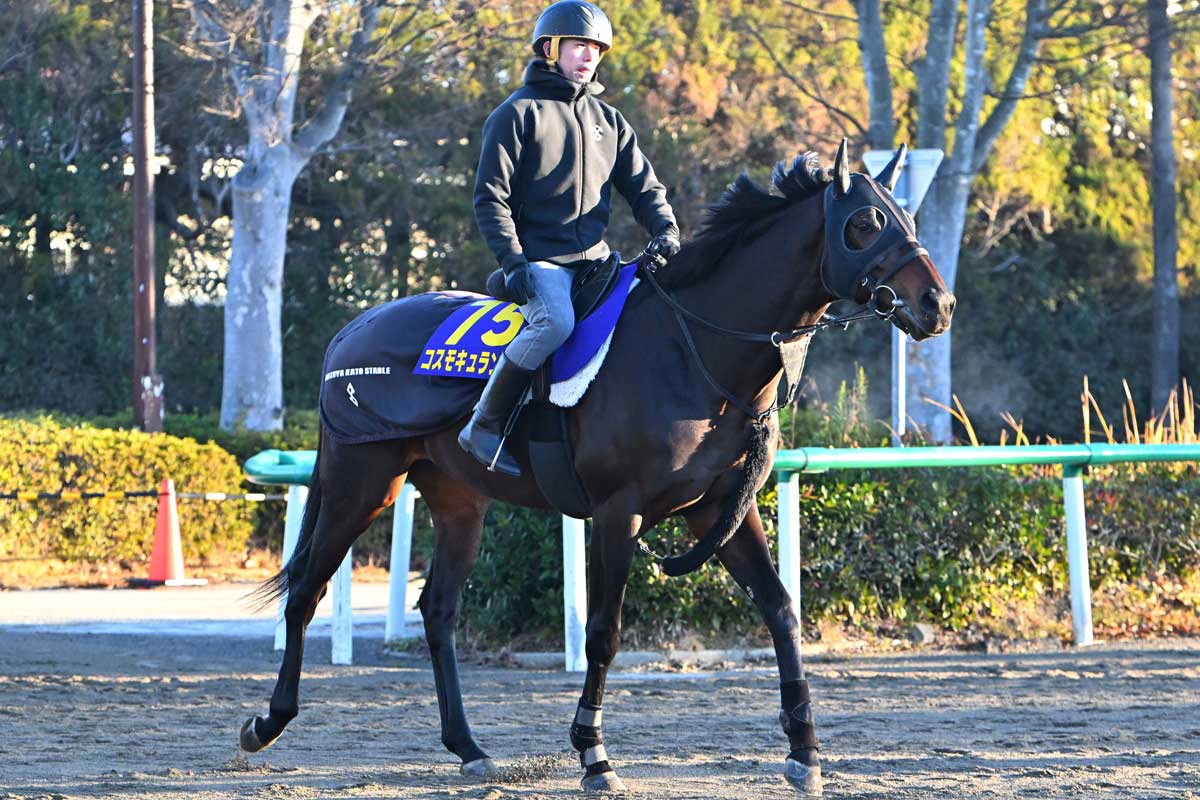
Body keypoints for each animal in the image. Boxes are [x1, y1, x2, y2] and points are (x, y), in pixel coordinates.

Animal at [238, 140, 955, 797]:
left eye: (906, 216)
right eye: (865, 222)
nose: (937, 304)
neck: (694, 351)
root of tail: (350, 331)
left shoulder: (721, 510)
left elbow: (781, 609)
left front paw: (804, 752)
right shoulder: (618, 513)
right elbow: (604, 633)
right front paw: (593, 753)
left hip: (460, 502)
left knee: (437, 611)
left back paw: (469, 748)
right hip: (360, 485)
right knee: (305, 593)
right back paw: (267, 723)